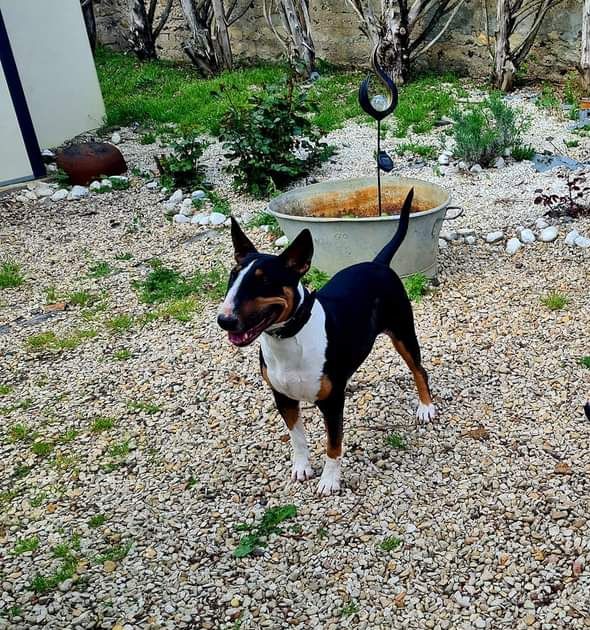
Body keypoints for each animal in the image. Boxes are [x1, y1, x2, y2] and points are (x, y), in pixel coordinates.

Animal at [217, 188, 435, 495]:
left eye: (265, 281)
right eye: (232, 275)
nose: (224, 320)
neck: (290, 339)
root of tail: (378, 263)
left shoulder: (332, 403)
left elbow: (334, 443)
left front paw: (329, 481)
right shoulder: (283, 398)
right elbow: (297, 438)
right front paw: (302, 468)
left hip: (403, 333)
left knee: (419, 370)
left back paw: (426, 407)